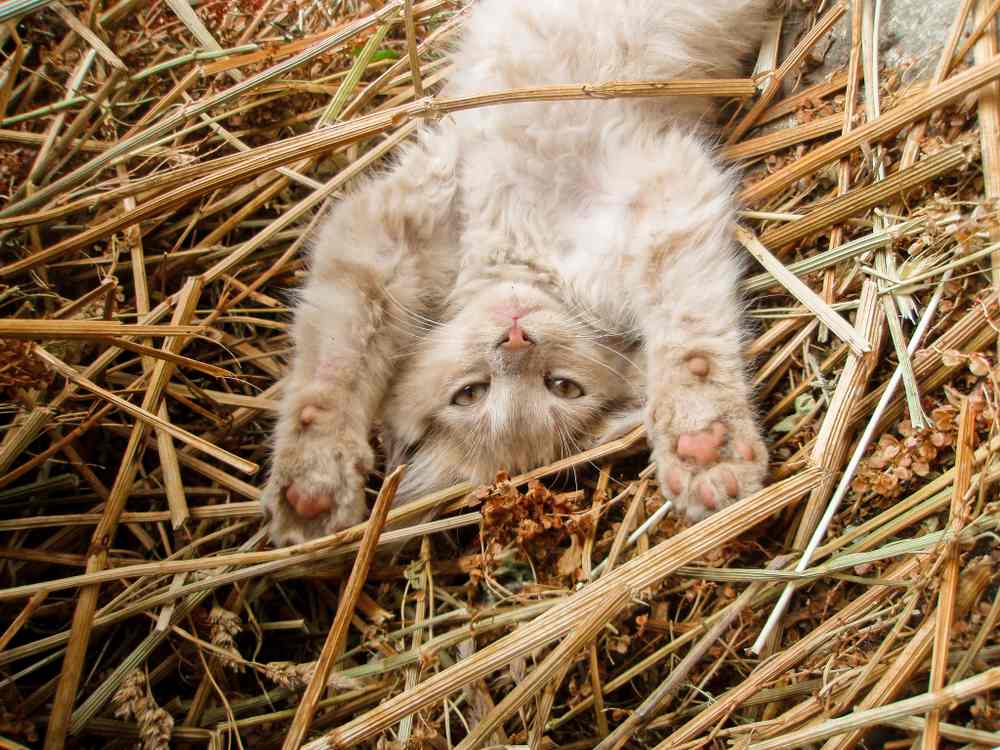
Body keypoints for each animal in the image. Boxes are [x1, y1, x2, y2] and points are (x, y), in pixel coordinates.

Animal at [262, 0, 768, 544]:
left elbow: (690, 333)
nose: (515, 340)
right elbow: (332, 357)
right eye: (471, 393)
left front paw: (705, 441)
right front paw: (313, 478)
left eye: (562, 386)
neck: (518, 257)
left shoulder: (663, 192)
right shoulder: (381, 233)